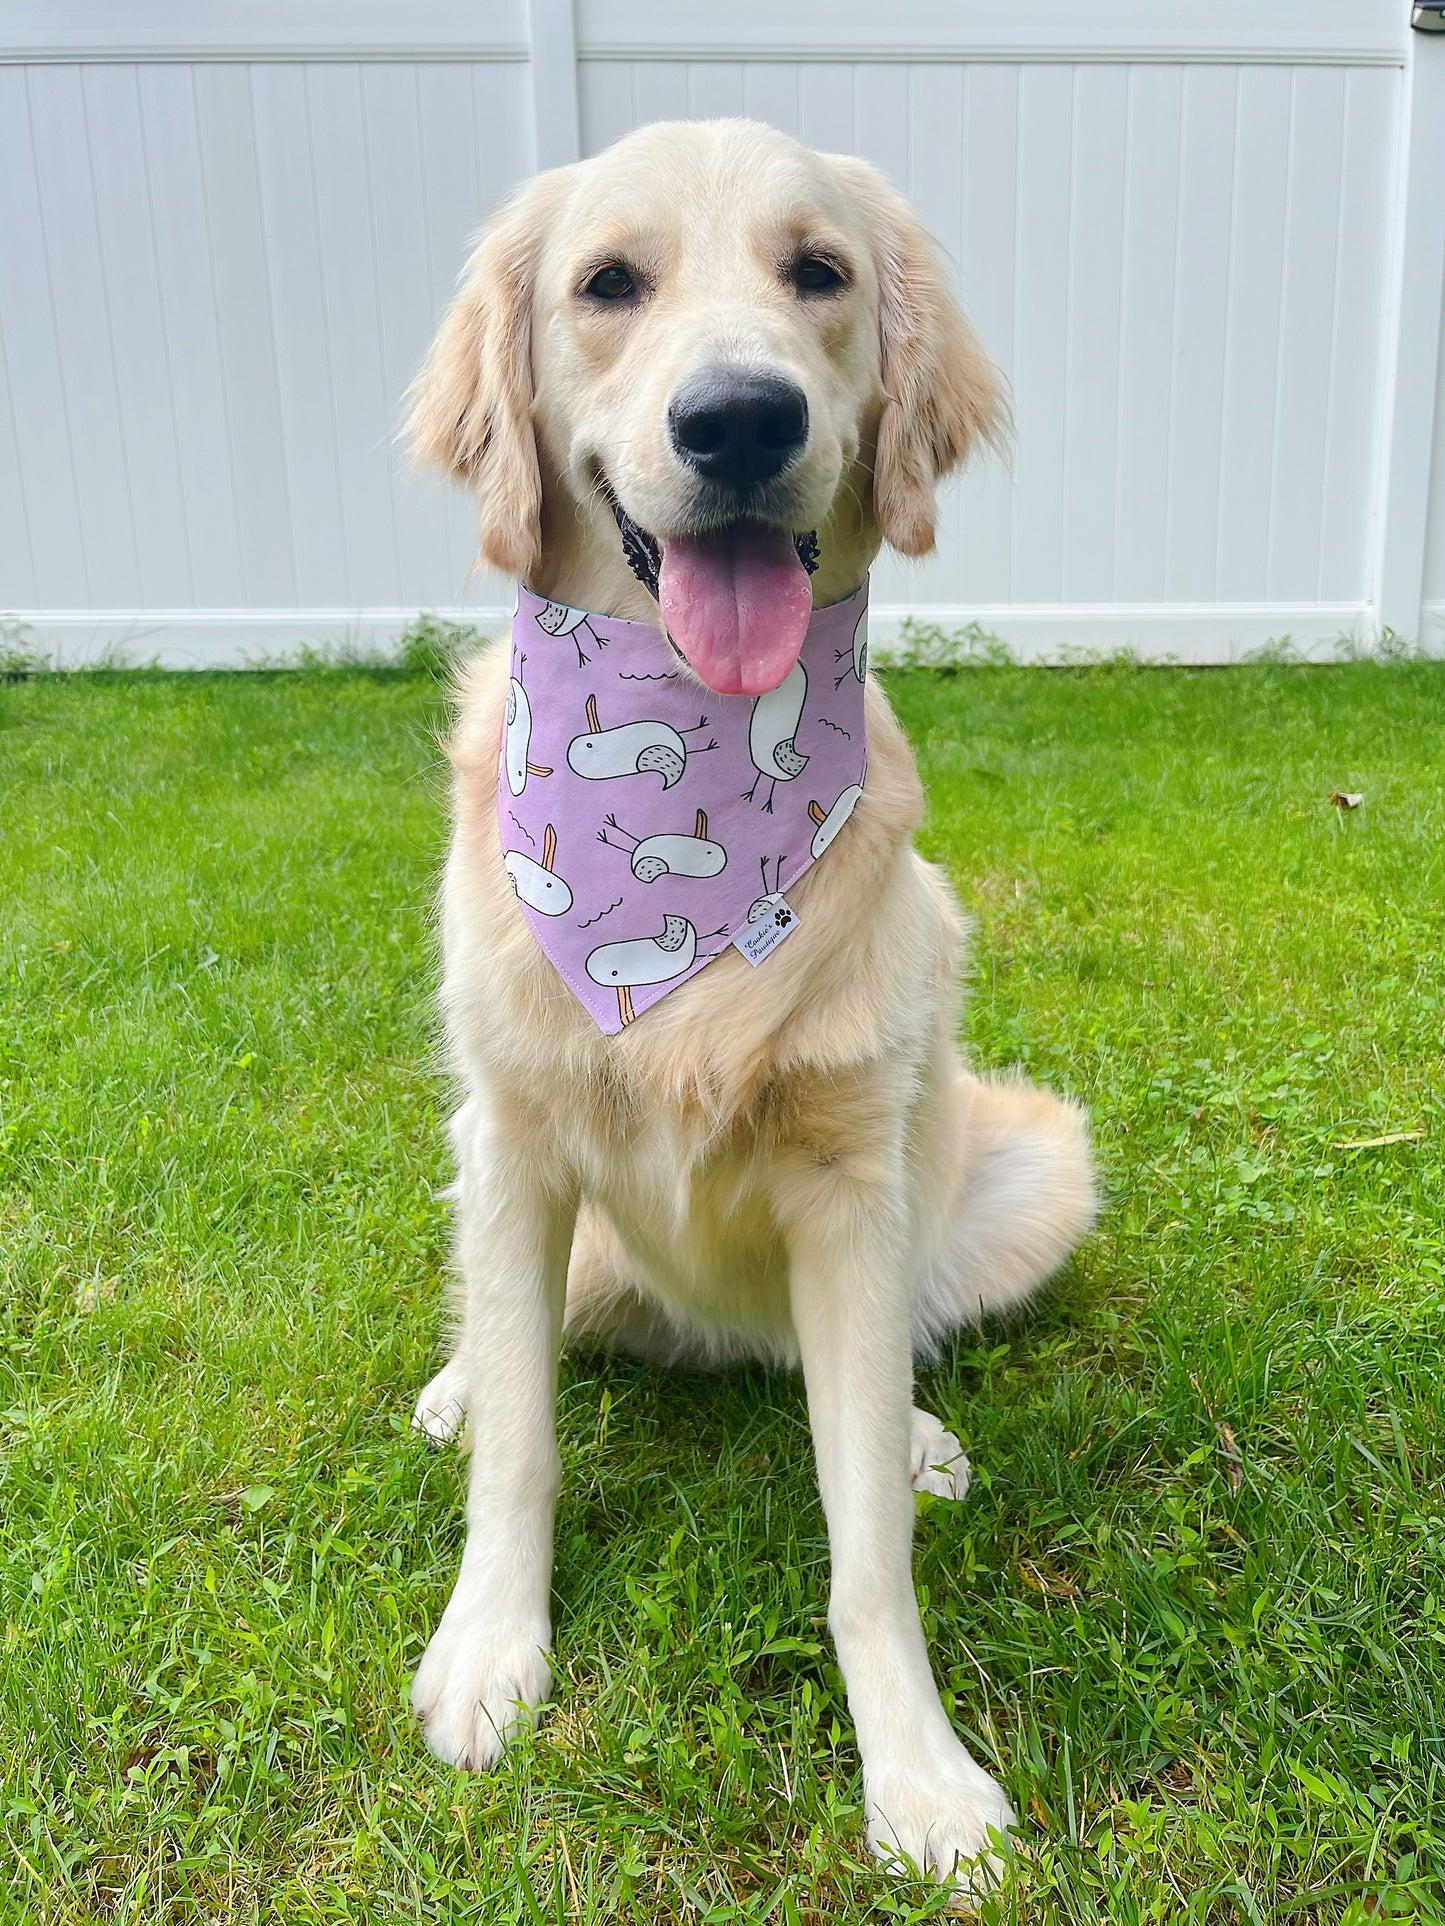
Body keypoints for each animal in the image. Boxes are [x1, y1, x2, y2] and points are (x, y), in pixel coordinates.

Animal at [402, 116, 1094, 1879]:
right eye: (608, 285)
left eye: (819, 274)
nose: (737, 418)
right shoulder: (514, 1140)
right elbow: (527, 1449)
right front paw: (489, 1650)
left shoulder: (849, 1194)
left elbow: (866, 1554)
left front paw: (920, 1776)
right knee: (514, 1341)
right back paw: (458, 1382)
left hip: (1026, 1168)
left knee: (883, 1353)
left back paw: (909, 1430)